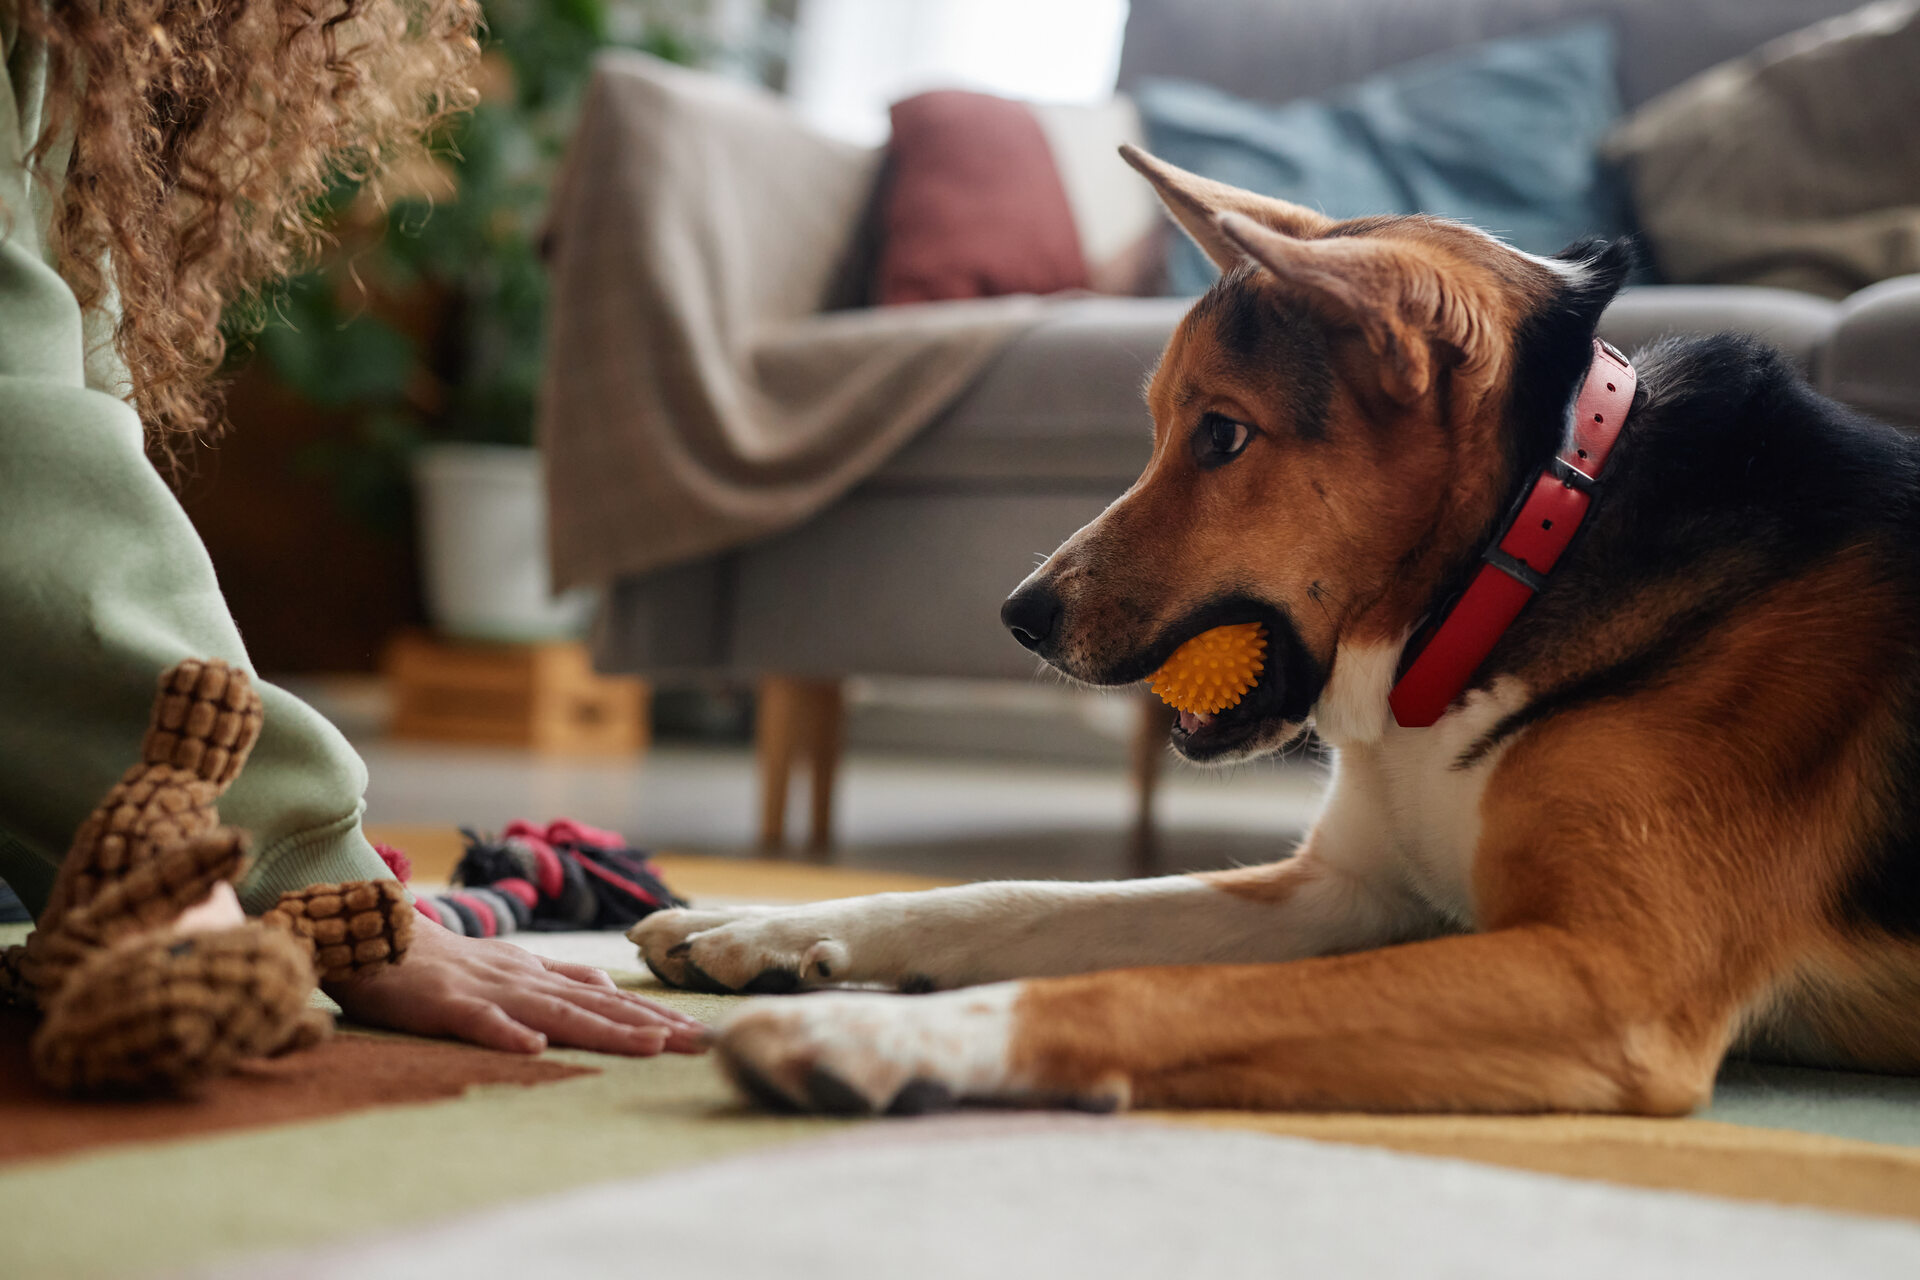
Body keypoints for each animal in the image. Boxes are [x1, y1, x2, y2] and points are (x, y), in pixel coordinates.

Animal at [629, 147, 1920, 1113]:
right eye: (1161, 424)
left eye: (1223, 435)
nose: (1019, 617)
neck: (1523, 555)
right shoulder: (1342, 891)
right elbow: (1018, 898)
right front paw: (763, 924)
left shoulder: (1614, 978)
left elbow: (1148, 990)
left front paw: (876, 1038)